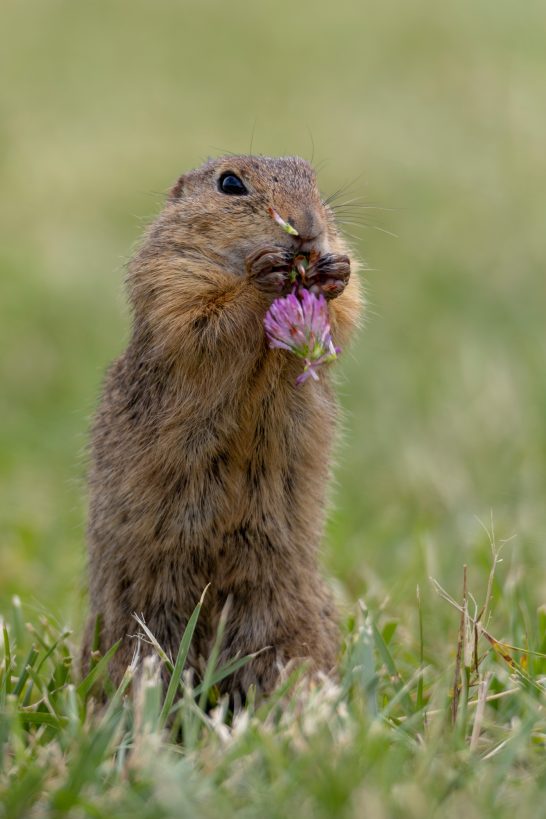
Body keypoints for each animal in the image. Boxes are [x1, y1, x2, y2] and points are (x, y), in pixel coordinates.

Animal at [83, 155, 362, 700]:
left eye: (312, 178)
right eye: (230, 184)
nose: (307, 227)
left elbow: (346, 312)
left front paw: (334, 272)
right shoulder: (169, 271)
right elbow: (198, 318)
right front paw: (264, 275)